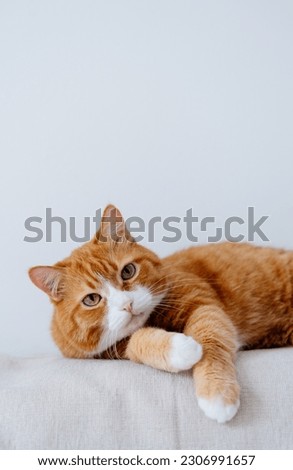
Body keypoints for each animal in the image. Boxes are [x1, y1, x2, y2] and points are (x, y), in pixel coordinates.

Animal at [28, 205, 292, 422]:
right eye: (91, 299)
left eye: (128, 271)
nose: (127, 305)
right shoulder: (111, 350)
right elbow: (137, 340)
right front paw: (182, 348)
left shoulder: (203, 305)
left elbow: (211, 340)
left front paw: (217, 395)